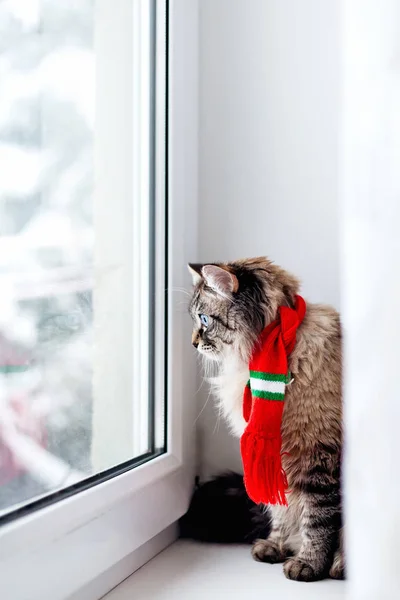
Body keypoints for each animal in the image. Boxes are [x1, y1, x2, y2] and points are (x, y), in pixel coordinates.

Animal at [188, 258, 344, 580]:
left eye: (204, 319)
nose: (192, 343)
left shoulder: (317, 457)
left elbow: (318, 521)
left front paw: (309, 564)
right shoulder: (276, 462)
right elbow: (281, 512)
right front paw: (276, 546)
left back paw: (339, 565)